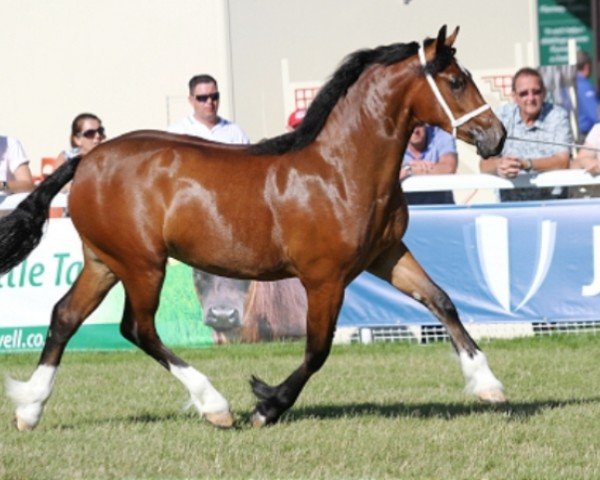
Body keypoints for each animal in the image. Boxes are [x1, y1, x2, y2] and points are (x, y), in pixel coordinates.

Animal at [0, 27, 506, 432]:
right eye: (456, 81)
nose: (496, 136)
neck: (341, 169)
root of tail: (87, 159)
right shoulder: (324, 278)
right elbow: (317, 350)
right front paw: (267, 406)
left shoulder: (386, 255)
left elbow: (441, 301)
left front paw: (488, 384)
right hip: (142, 265)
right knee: (138, 329)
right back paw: (215, 406)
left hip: (104, 262)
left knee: (65, 317)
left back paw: (29, 410)